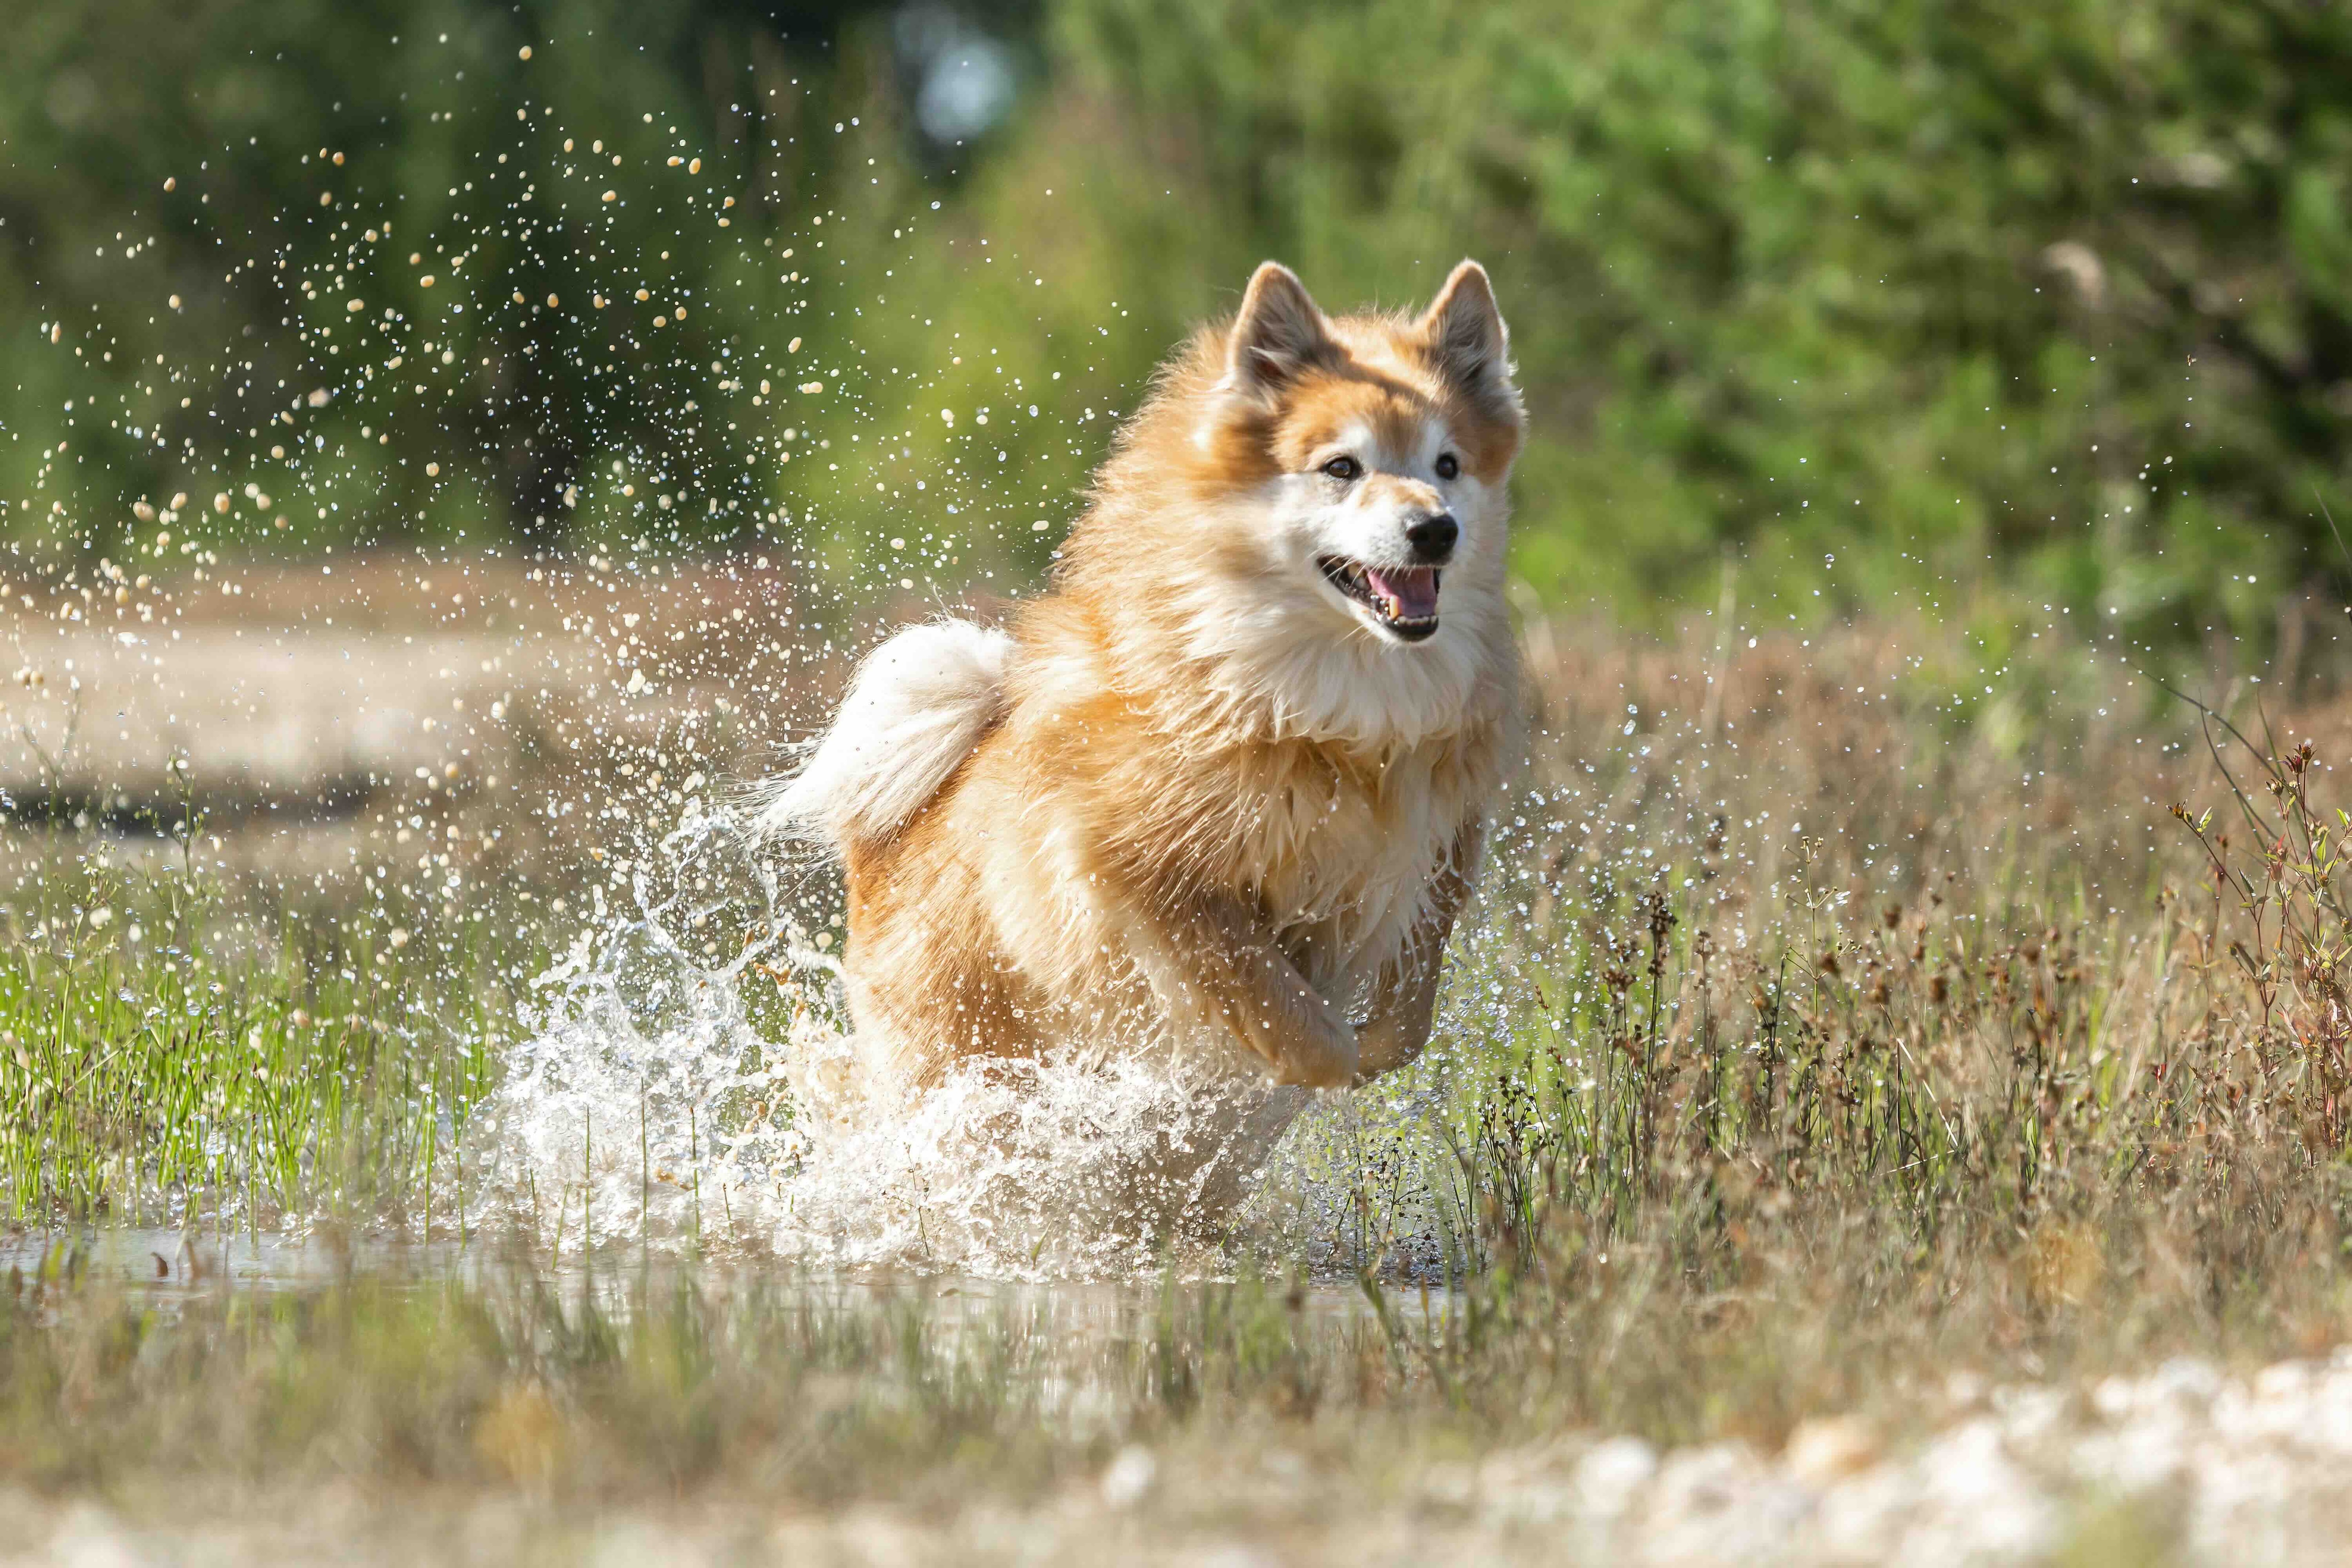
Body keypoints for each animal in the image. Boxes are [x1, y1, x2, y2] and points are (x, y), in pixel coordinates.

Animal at [757, 261, 1524, 1105]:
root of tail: (878, 855)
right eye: (1341, 468)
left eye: (1447, 466)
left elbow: (1409, 1010)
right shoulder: (1139, 875)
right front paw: (1312, 1062)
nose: (1436, 529)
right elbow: (1292, 1013)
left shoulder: (1439, 844)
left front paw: (1369, 1047)